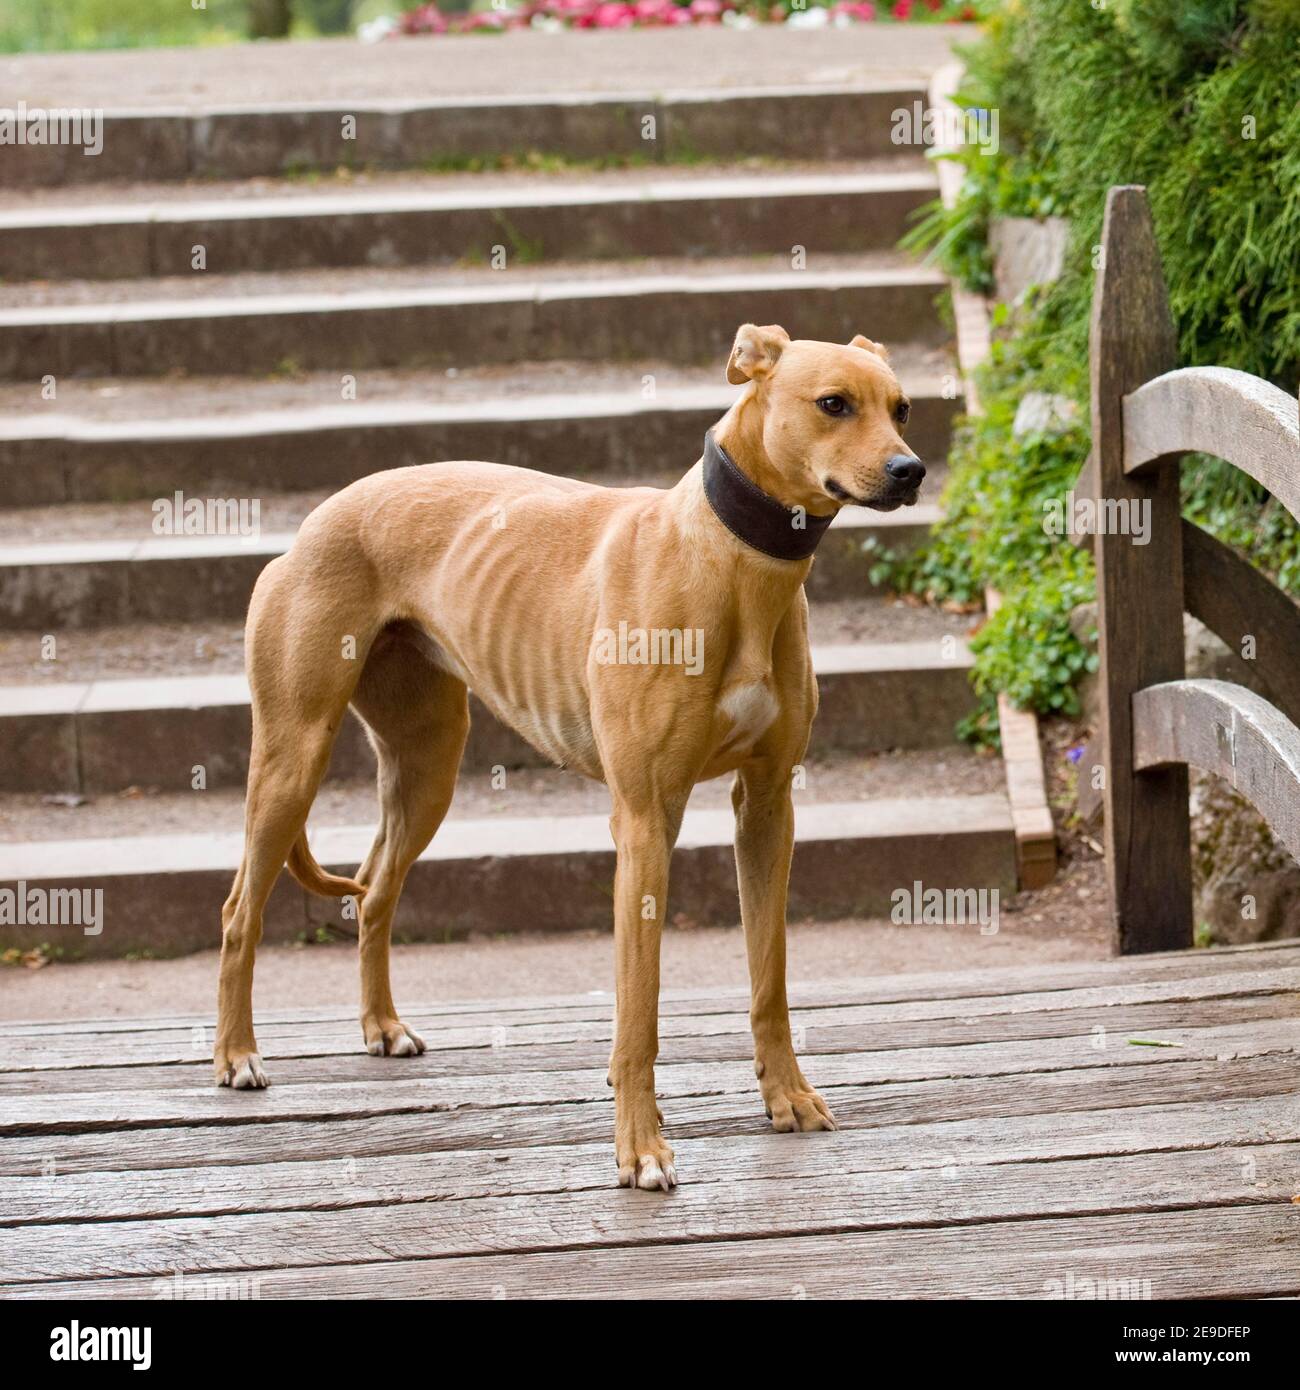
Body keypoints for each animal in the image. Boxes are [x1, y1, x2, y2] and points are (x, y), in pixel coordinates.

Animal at [215, 322, 923, 1184]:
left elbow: (770, 977)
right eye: (833, 404)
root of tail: (313, 524)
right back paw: (236, 1056)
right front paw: (640, 1148)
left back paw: (382, 1027)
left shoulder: (766, 807)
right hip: (293, 757)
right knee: (239, 911)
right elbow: (638, 1012)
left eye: (901, 406)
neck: (731, 563)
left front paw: (786, 1097)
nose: (911, 470)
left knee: (376, 890)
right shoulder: (646, 821)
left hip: (427, 767)